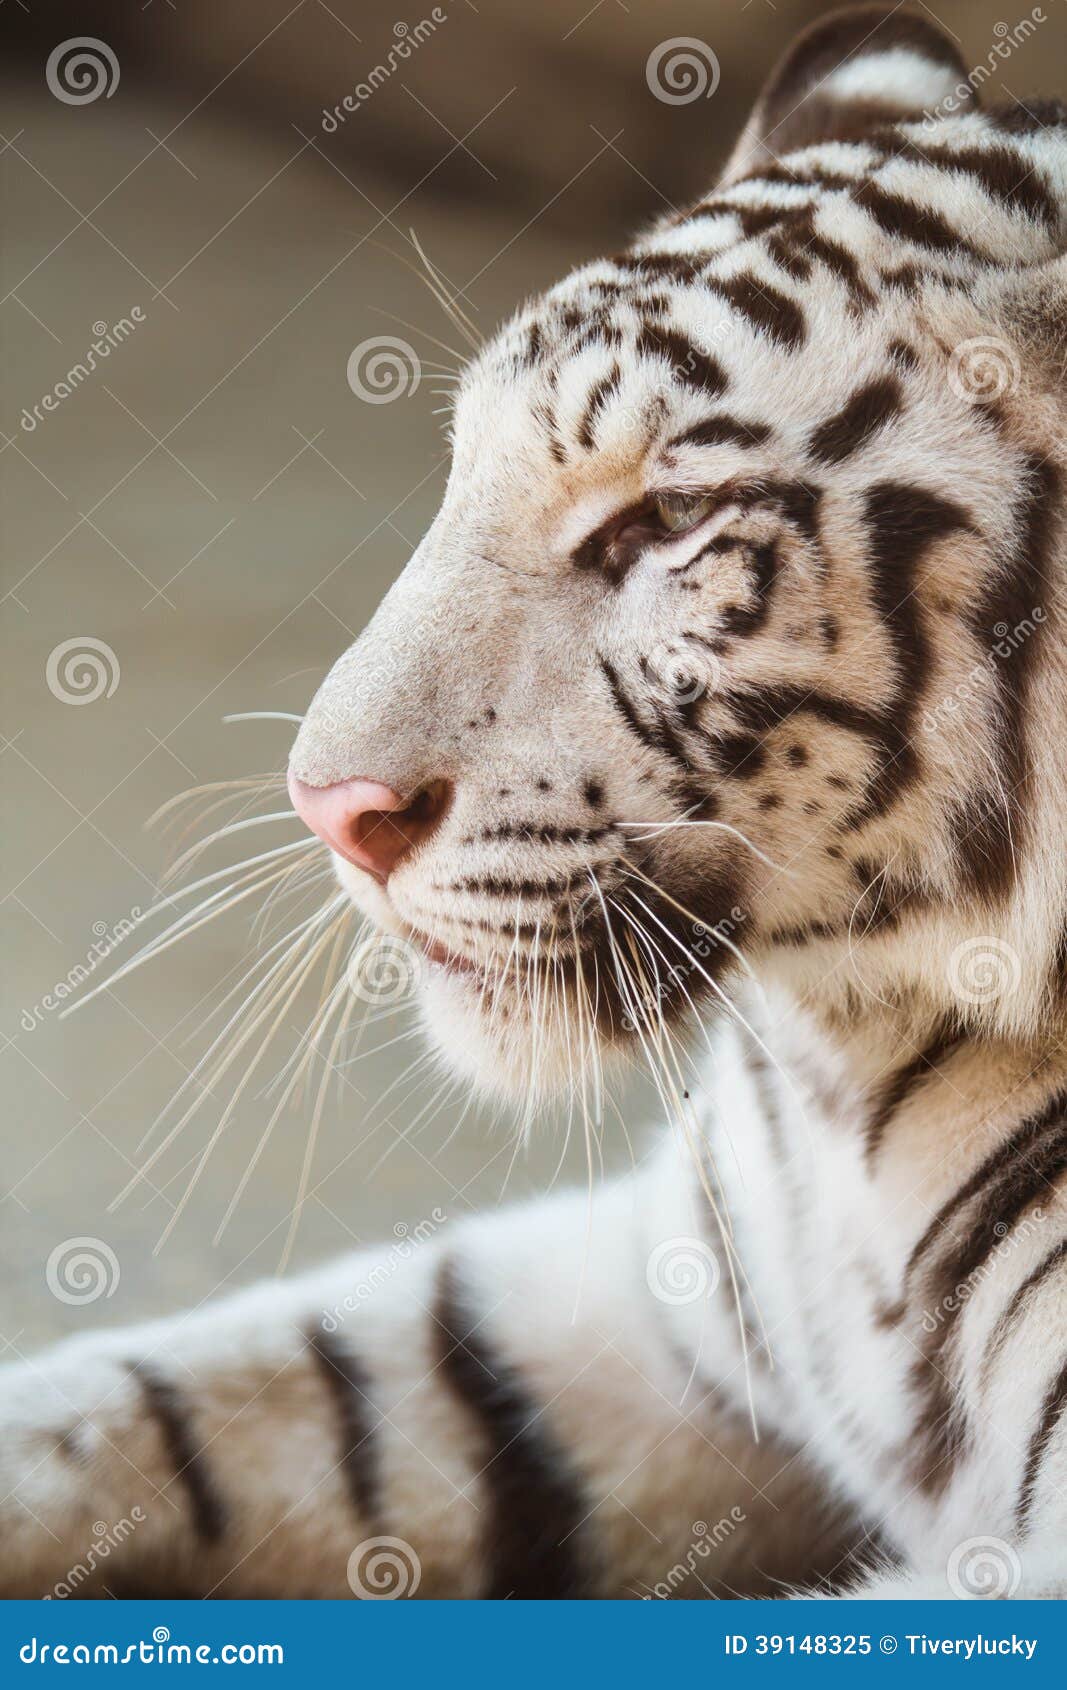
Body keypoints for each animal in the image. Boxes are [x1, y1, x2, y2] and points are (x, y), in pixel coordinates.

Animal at [2, 3, 1067, 1601]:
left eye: (666, 522)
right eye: (460, 468)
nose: (329, 807)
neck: (857, 1086)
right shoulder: (654, 1302)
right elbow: (197, 1393)